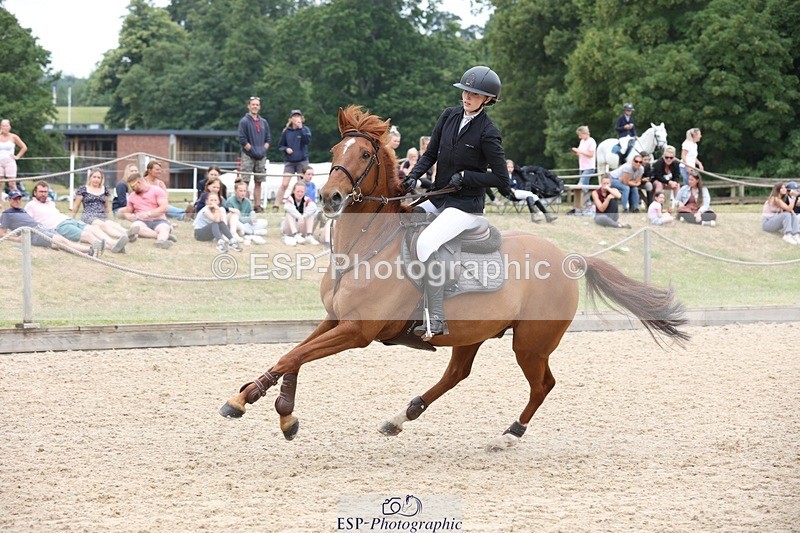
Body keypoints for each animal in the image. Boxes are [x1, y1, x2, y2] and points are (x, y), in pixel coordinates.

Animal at [219, 106, 688, 450]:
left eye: (365, 155)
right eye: (336, 148)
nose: (331, 198)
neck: (364, 247)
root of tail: (569, 258)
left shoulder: (357, 330)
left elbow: (294, 356)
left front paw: (260, 406)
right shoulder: (335, 320)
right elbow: (293, 354)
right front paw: (268, 404)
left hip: (530, 342)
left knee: (543, 384)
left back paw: (509, 435)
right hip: (472, 331)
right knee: (457, 374)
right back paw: (400, 418)